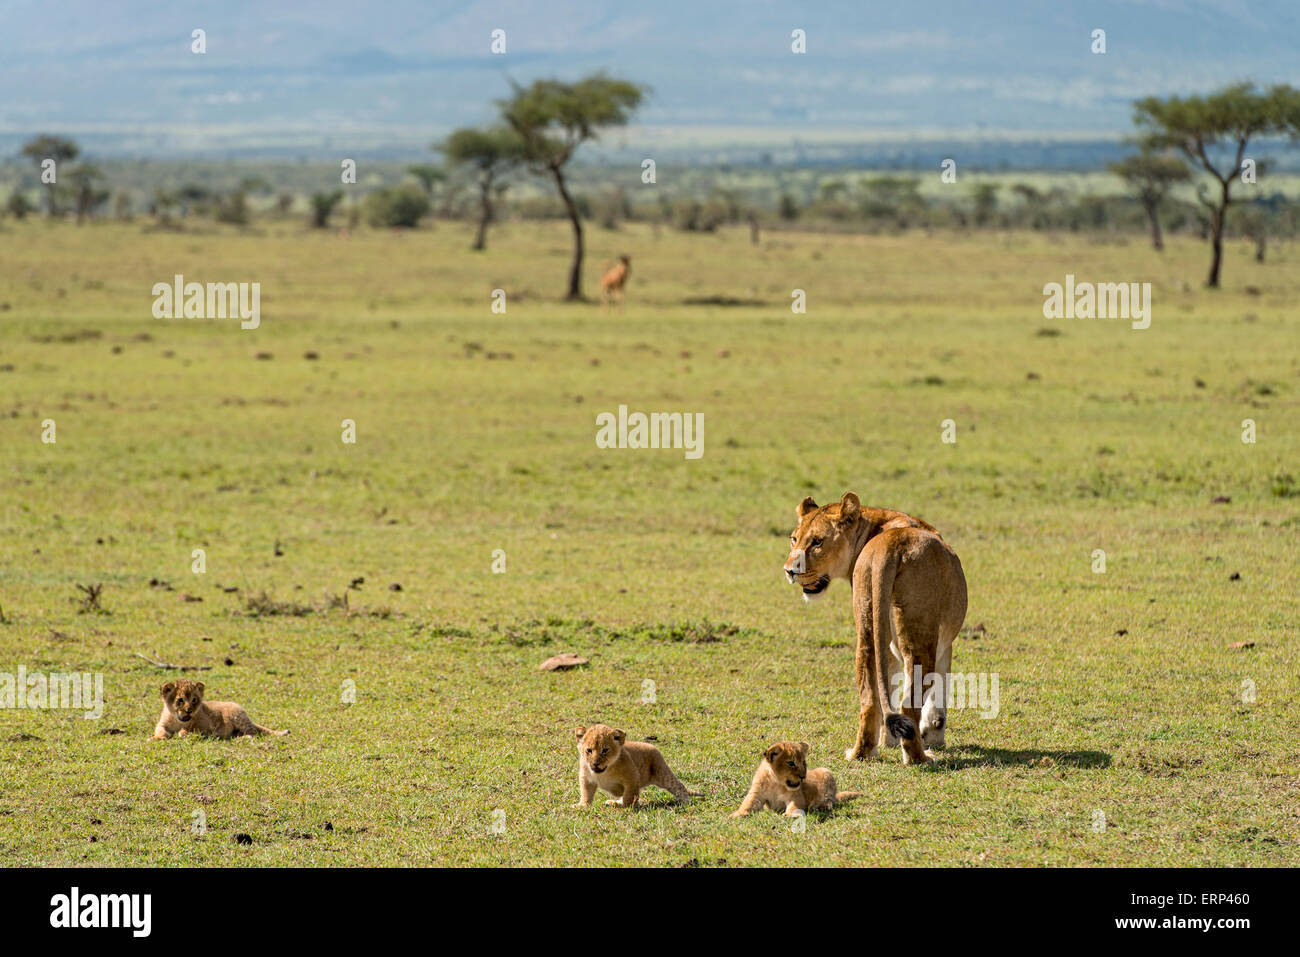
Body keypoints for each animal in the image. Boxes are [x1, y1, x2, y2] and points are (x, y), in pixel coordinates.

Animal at [151, 679, 288, 740]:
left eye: (194, 700)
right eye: (180, 700)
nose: (189, 710)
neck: (178, 721)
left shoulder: (207, 726)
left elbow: (192, 728)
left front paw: (183, 733)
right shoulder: (162, 723)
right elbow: (160, 730)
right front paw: (156, 738)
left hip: (237, 714)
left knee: (253, 732)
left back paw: (242, 738)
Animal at [730, 741, 861, 818]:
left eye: (803, 762)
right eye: (791, 763)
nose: (803, 776)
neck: (776, 783)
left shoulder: (796, 797)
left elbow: (794, 806)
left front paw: (788, 815)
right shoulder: (757, 794)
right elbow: (747, 804)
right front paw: (735, 815)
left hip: (826, 772)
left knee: (830, 799)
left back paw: (821, 806)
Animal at [784, 492, 967, 765]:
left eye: (817, 541)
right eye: (795, 539)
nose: (789, 571)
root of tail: (888, 547)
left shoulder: (886, 642)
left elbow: (886, 687)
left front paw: (888, 742)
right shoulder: (944, 643)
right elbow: (939, 691)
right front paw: (933, 734)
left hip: (867, 624)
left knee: (870, 700)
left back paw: (861, 753)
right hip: (919, 637)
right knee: (908, 704)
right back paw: (920, 757)